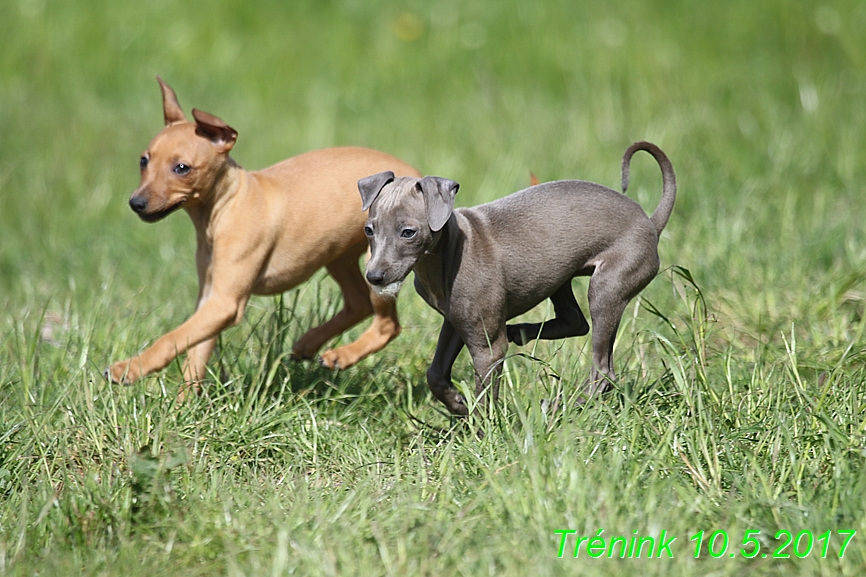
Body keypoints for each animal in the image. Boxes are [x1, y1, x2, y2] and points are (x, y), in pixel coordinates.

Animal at [103, 77, 420, 396]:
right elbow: (193, 352)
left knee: (387, 325)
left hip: (379, 262)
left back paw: (341, 355)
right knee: (359, 302)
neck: (225, 208)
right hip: (338, 255)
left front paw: (128, 369)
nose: (136, 203)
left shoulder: (225, 304)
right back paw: (311, 343)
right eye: (144, 161)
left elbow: (170, 339)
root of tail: (417, 175)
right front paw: (184, 403)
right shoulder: (211, 301)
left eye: (182, 168)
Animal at [358, 143, 676, 414]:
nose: (374, 277)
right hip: (562, 276)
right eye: (369, 230)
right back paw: (521, 333)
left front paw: (482, 434)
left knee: (602, 370)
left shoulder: (487, 347)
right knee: (577, 323)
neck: (445, 255)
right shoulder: (456, 320)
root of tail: (649, 222)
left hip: (607, 287)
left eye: (408, 232)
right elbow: (435, 374)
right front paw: (459, 405)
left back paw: (558, 406)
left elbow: (485, 397)